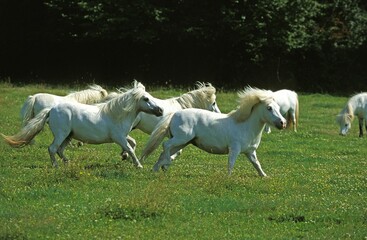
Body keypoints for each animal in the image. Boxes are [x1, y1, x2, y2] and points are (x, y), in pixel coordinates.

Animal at [1, 81, 162, 168]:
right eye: (146, 99)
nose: (160, 110)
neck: (116, 115)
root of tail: (51, 110)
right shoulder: (118, 137)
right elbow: (130, 147)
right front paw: (138, 165)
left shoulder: (122, 136)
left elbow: (132, 144)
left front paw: (125, 157)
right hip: (62, 134)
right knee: (52, 149)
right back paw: (56, 166)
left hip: (68, 136)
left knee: (60, 150)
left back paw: (67, 162)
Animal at [141, 86, 288, 176]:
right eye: (269, 108)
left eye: (277, 107)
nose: (283, 123)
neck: (245, 126)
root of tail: (174, 114)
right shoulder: (235, 149)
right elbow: (231, 164)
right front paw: (228, 178)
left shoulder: (250, 152)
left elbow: (257, 164)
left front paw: (264, 176)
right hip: (181, 139)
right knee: (165, 146)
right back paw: (165, 164)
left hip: (183, 142)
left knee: (164, 152)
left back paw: (157, 169)